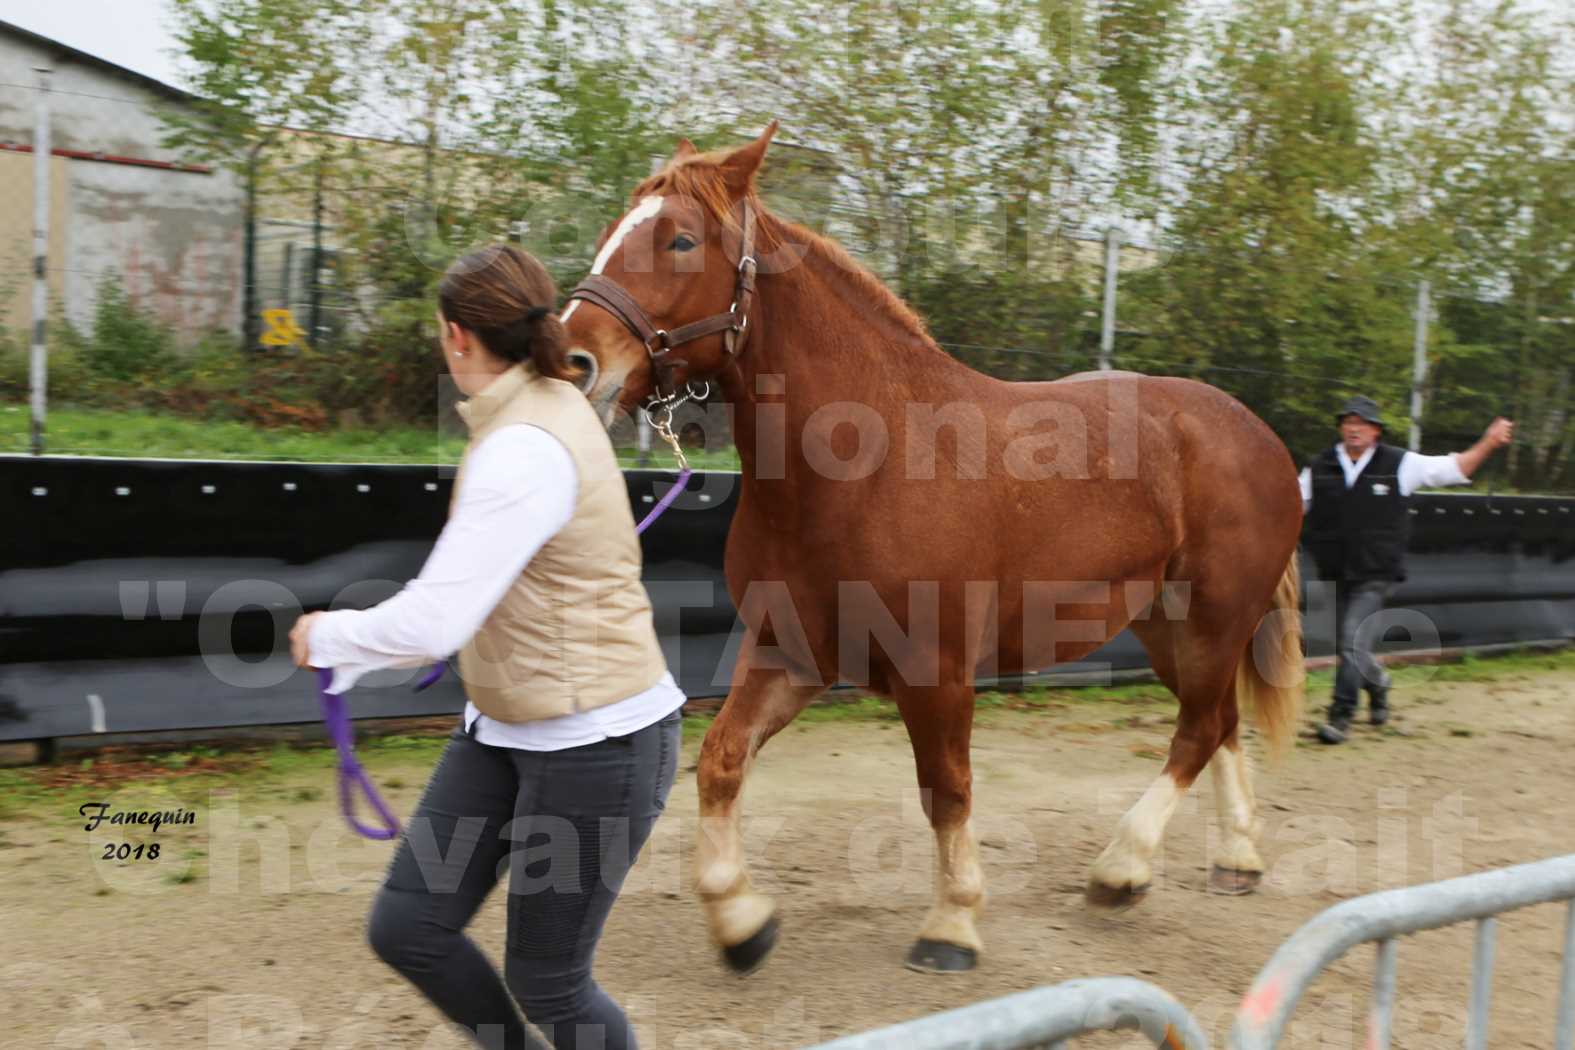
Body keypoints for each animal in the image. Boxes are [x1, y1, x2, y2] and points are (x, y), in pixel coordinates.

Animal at [560, 125, 1297, 976]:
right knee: (1220, 723)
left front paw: (952, 924)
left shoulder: (935, 671)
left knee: (1197, 730)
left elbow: (944, 788)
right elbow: (719, 759)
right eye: (612, 229)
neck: (865, 462)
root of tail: (1259, 436)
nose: (573, 360)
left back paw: (1123, 868)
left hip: (1212, 620)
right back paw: (1235, 858)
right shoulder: (792, 650)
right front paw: (740, 920)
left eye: (679, 239)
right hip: (1166, 626)